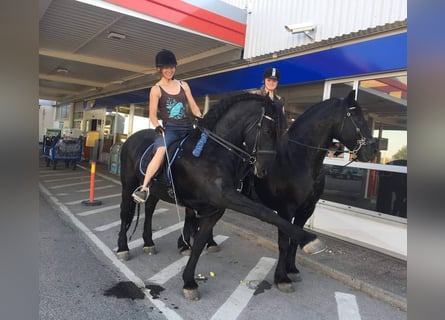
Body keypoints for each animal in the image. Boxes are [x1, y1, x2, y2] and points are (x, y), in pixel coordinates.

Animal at [115, 93, 322, 300]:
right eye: (268, 131)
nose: (264, 170)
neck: (212, 153)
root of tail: (131, 138)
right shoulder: (227, 197)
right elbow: (265, 213)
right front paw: (310, 240)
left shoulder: (215, 208)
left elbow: (199, 243)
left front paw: (189, 282)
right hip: (128, 184)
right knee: (125, 213)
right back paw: (123, 248)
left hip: (155, 190)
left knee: (149, 209)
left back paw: (148, 243)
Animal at [251, 89, 376, 290]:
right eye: (357, 117)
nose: (372, 150)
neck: (298, 160)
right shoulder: (285, 210)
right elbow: (284, 242)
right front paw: (282, 278)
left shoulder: (307, 209)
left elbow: (295, 238)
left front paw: (292, 269)